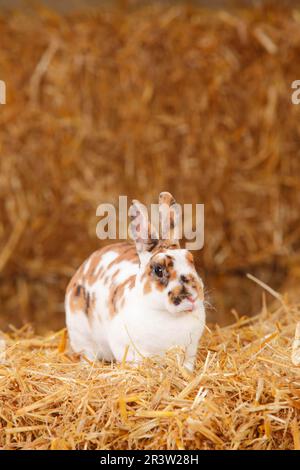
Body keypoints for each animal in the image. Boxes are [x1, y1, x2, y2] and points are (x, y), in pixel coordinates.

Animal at [65, 191, 206, 370]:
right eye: (158, 270)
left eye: (191, 259)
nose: (193, 297)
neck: (167, 314)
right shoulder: (127, 347)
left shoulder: (190, 349)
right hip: (81, 336)